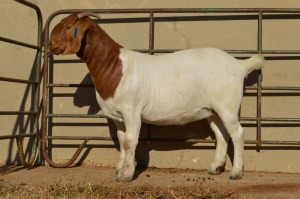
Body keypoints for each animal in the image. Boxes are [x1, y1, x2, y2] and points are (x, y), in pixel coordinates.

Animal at [49, 11, 264, 181]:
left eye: (68, 26)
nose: (50, 44)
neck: (113, 66)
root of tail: (239, 65)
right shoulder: (118, 117)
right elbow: (121, 140)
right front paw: (120, 169)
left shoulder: (132, 111)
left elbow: (130, 141)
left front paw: (126, 175)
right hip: (213, 110)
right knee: (222, 134)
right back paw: (215, 168)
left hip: (228, 105)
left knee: (237, 133)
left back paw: (236, 172)